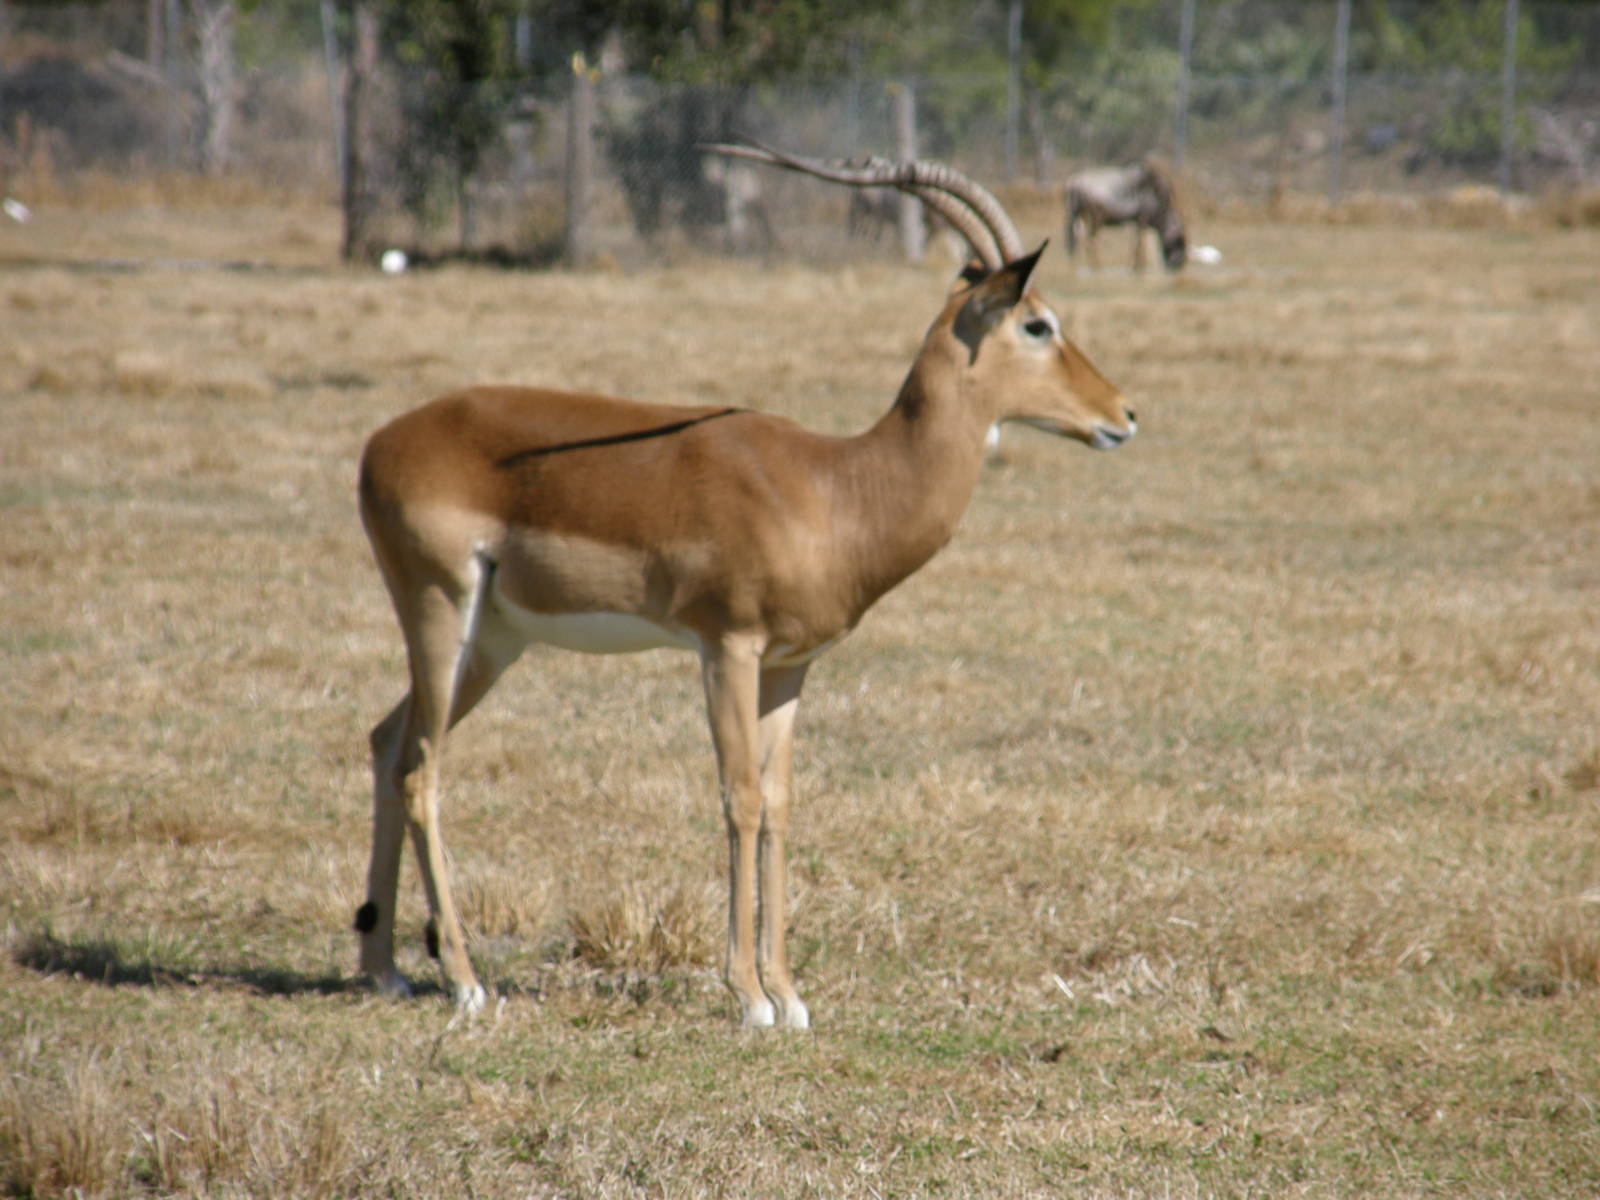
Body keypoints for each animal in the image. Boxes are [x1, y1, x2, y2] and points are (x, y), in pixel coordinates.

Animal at [353, 143, 1137, 1028]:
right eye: (1039, 324)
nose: (1123, 414)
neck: (837, 487)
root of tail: (380, 442)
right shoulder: (726, 647)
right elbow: (741, 797)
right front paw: (750, 998)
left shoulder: (792, 666)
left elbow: (782, 805)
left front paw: (789, 993)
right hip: (441, 610)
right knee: (421, 769)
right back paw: (463, 978)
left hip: (493, 641)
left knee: (386, 740)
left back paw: (384, 969)